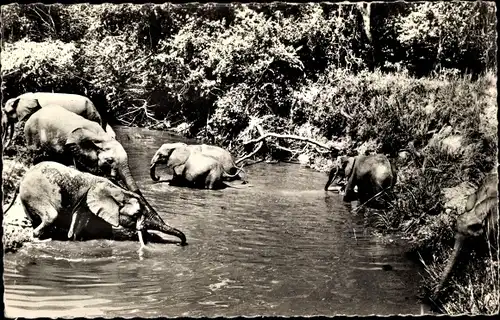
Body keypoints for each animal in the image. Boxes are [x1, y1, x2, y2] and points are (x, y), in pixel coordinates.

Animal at [17, 161, 188, 246]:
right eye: (136, 214)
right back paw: (39, 237)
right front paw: (72, 238)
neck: (117, 190)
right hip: (36, 191)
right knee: (51, 215)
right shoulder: (85, 202)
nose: (181, 243)